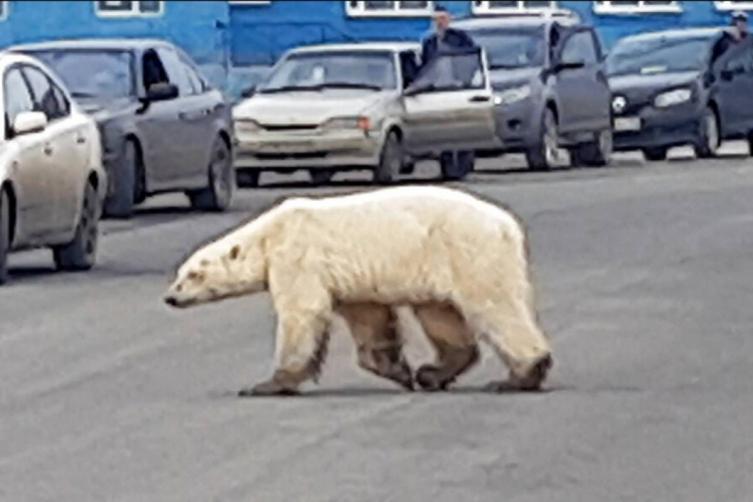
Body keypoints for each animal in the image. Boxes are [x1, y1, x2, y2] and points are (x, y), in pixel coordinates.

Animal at [163, 185, 553, 396]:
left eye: (193, 275)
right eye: (179, 273)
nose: (171, 297)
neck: (269, 233)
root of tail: (508, 225)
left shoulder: (297, 256)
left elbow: (302, 312)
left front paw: (267, 385)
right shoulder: (351, 279)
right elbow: (369, 318)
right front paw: (399, 371)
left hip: (468, 251)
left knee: (494, 306)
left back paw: (520, 376)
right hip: (438, 264)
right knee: (440, 313)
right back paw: (432, 373)